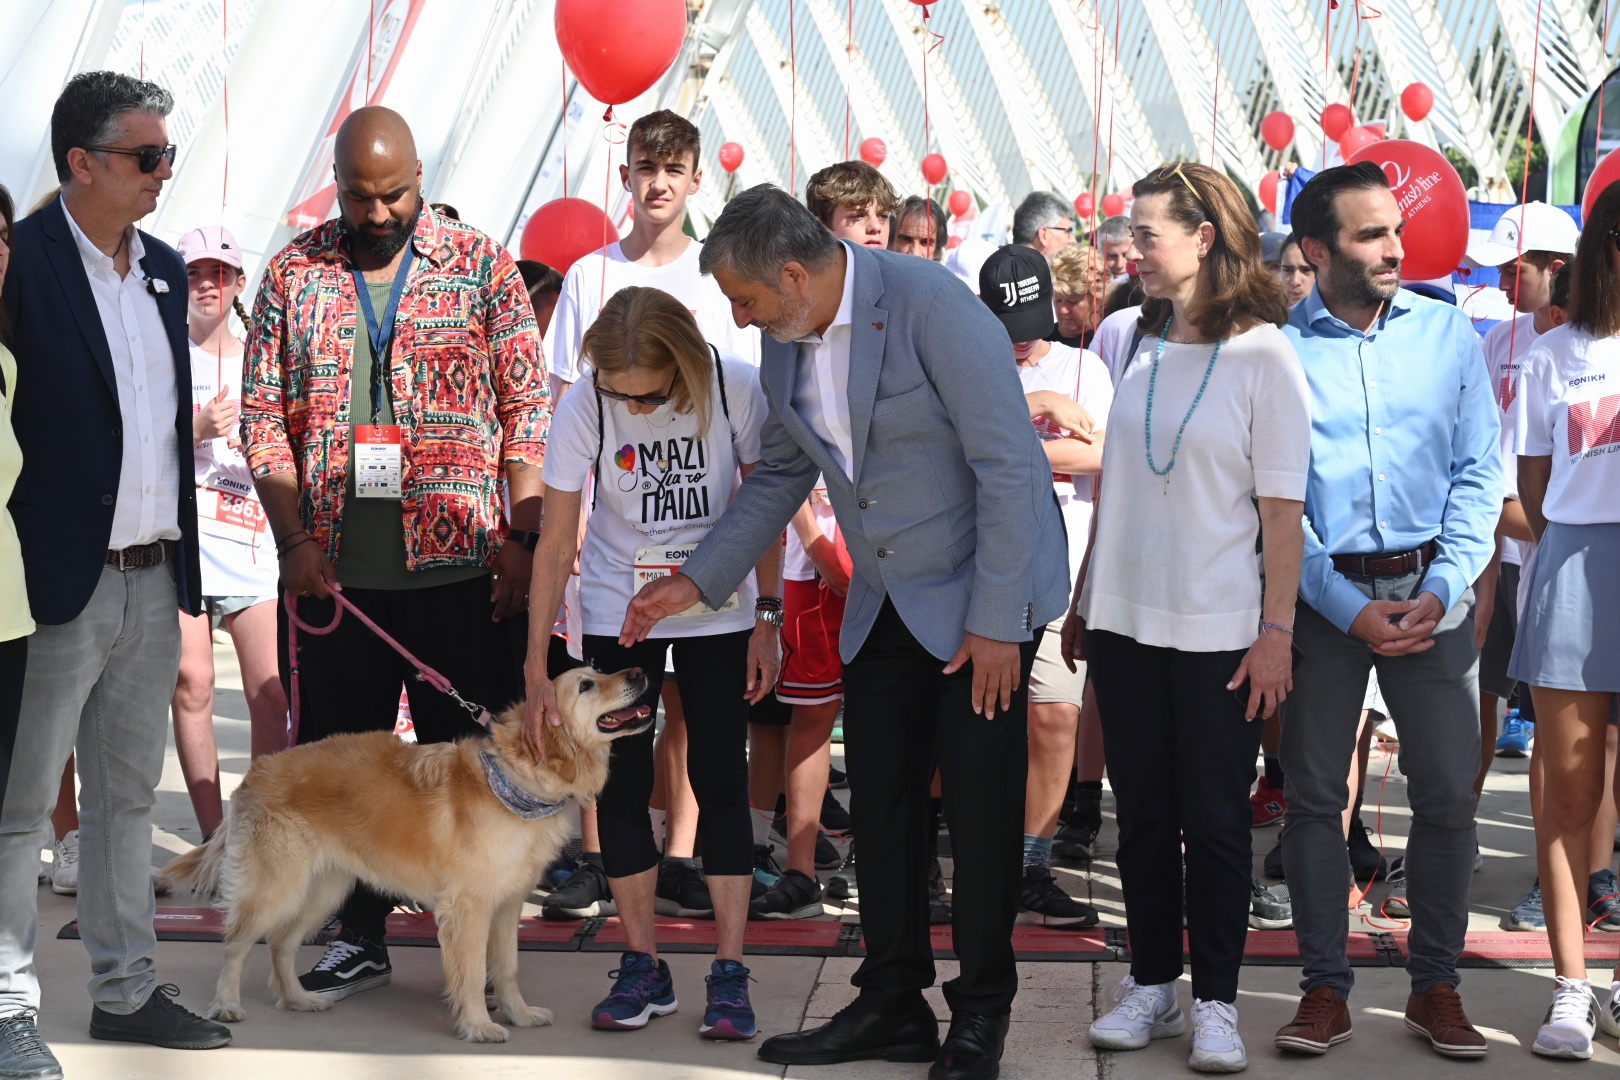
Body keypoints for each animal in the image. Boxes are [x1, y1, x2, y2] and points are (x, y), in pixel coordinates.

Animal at [159, 667, 651, 1036]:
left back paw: (299, 1000)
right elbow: (474, 972)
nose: (639, 671)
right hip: (276, 889)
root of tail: (253, 773)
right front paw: (478, 1025)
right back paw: (226, 1005)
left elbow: (507, 968)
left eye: (599, 670)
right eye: (586, 685)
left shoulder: (508, 904)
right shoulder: (468, 908)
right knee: (236, 945)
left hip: (324, 890)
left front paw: (520, 1014)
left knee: (280, 944)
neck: (516, 782)